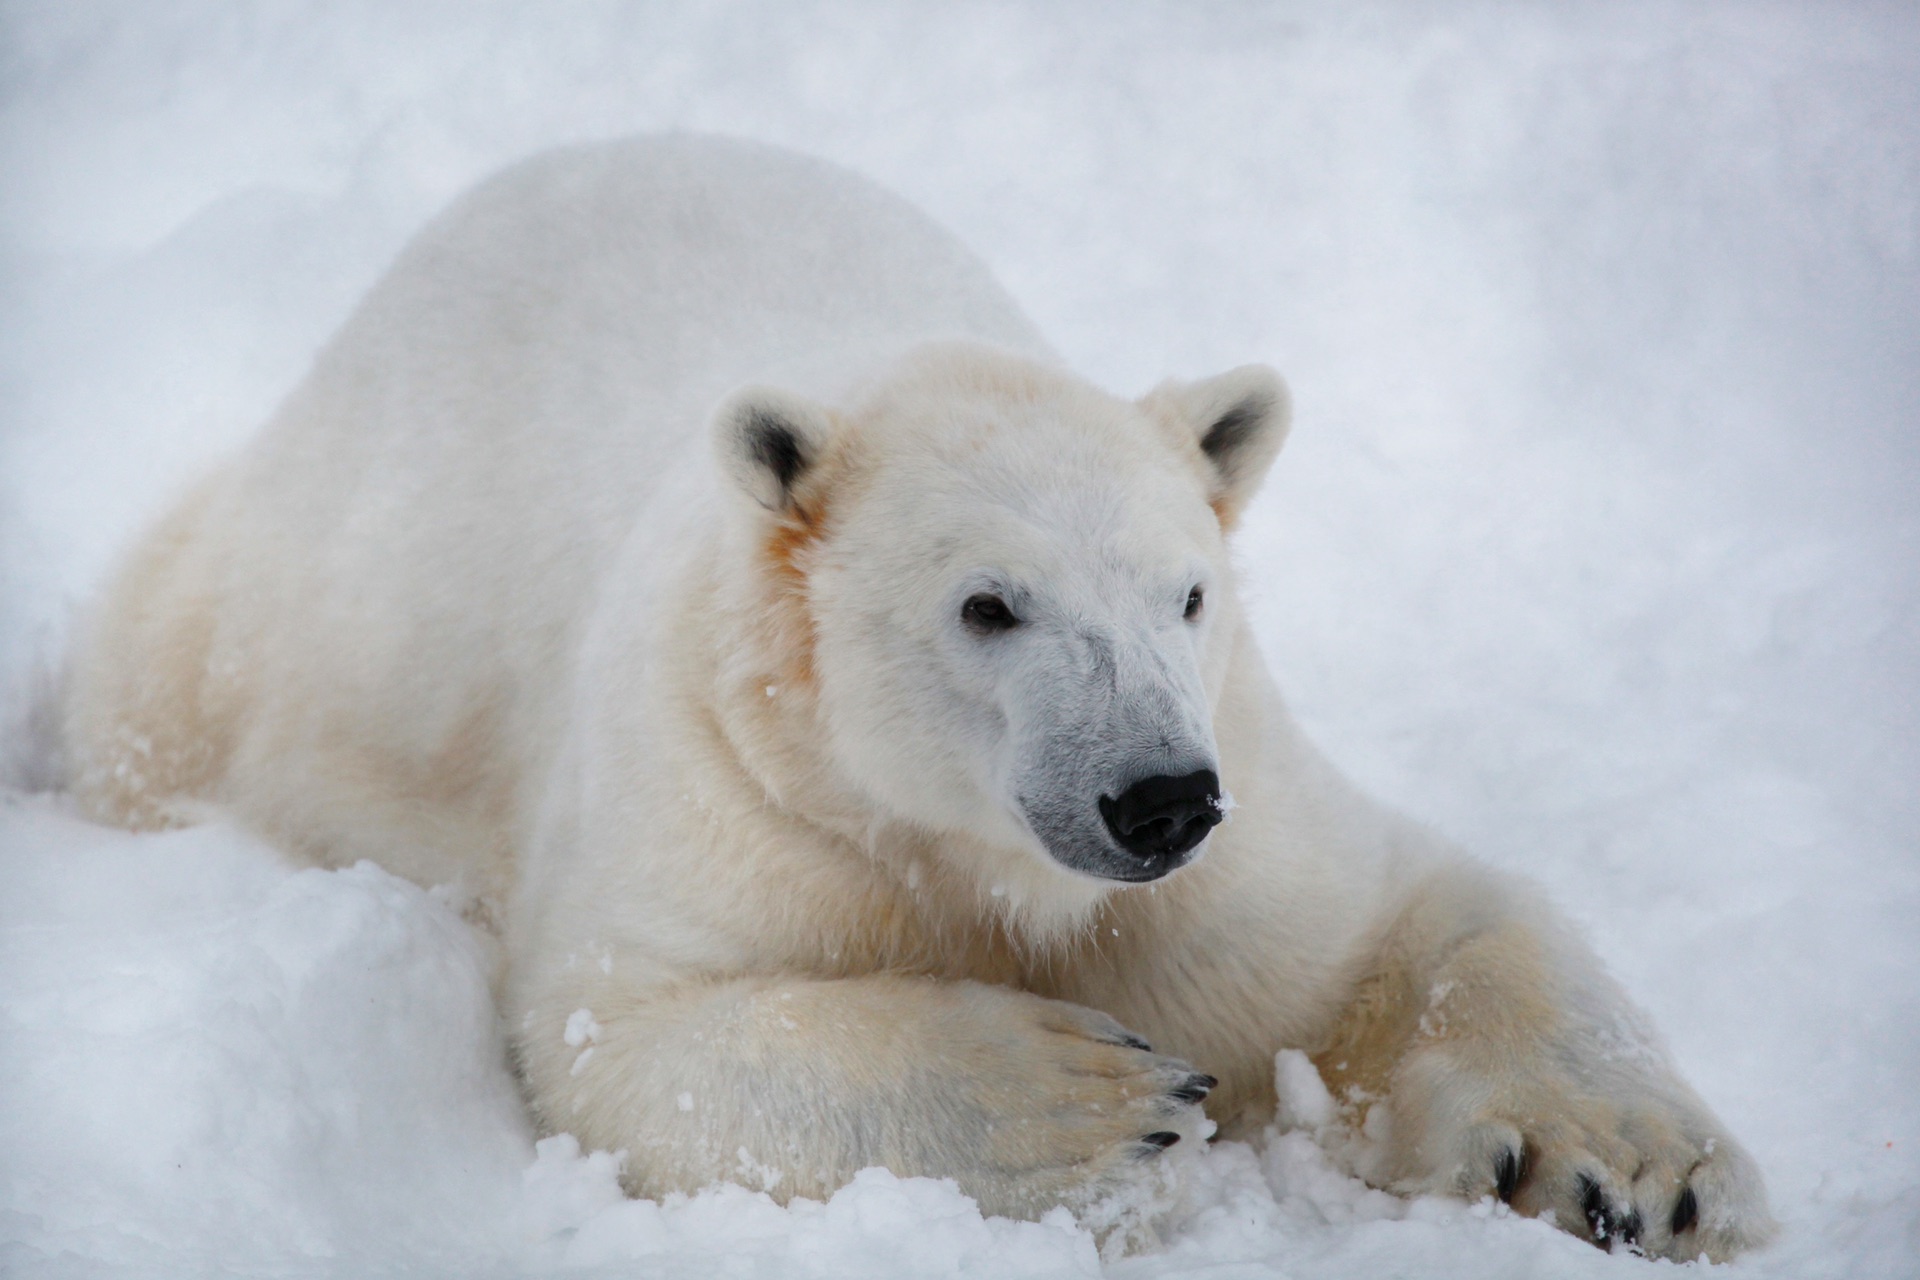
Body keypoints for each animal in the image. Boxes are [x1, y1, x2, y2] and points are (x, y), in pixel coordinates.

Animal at [63, 132, 1766, 1258]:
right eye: (988, 606)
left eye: (1188, 594)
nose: (1158, 797)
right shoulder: (727, 792)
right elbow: (633, 1033)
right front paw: (1098, 1097)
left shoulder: (1245, 825)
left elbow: (1410, 922)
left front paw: (1642, 1168)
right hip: (296, 596)